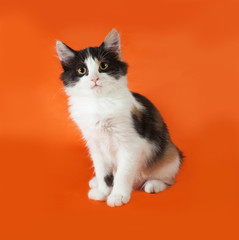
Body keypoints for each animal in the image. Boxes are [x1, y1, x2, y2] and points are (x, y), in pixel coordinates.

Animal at [56, 29, 183, 206]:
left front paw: (118, 196)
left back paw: (153, 184)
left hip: (168, 155)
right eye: (82, 70)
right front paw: (102, 191)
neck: (99, 102)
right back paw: (96, 182)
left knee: (168, 179)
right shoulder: (95, 144)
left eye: (103, 66)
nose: (94, 78)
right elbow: (102, 171)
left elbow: (123, 173)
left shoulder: (130, 144)